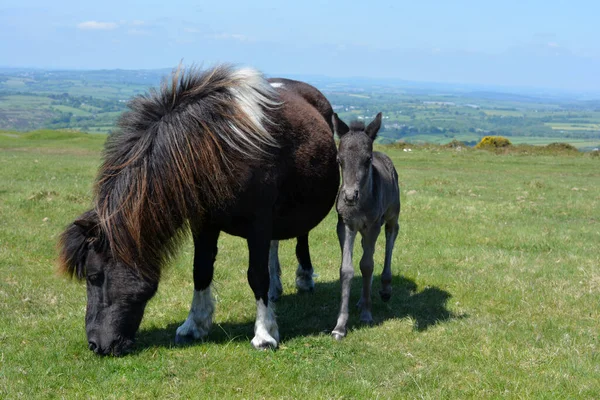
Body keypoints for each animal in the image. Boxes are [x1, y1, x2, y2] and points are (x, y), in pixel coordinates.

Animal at [58, 66, 340, 356]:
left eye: (94, 276)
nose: (96, 345)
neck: (219, 149)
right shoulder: (203, 224)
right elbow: (201, 270)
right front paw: (194, 326)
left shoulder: (258, 225)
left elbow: (256, 275)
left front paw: (264, 334)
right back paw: (276, 288)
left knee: (301, 237)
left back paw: (304, 278)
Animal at [330, 112, 400, 340]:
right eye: (339, 160)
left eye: (367, 160)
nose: (350, 196)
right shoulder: (345, 225)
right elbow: (347, 269)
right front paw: (340, 326)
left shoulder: (373, 225)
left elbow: (367, 266)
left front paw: (367, 315)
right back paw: (361, 300)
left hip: (392, 215)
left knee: (391, 237)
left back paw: (385, 289)